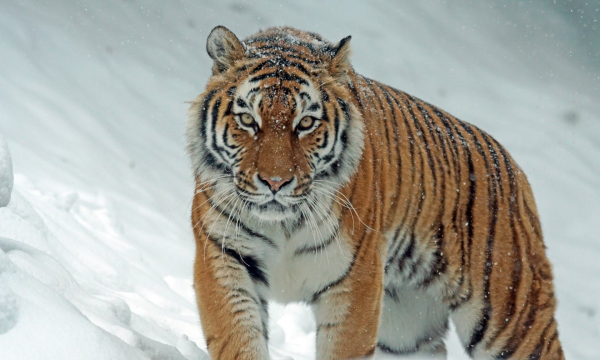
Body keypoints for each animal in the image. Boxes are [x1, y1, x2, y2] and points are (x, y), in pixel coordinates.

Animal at [186, 26, 564, 360]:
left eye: (305, 123)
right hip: (406, 330)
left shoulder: (356, 281)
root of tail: (515, 169)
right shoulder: (224, 257)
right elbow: (238, 340)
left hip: (512, 319)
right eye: (248, 120)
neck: (284, 225)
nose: (275, 182)